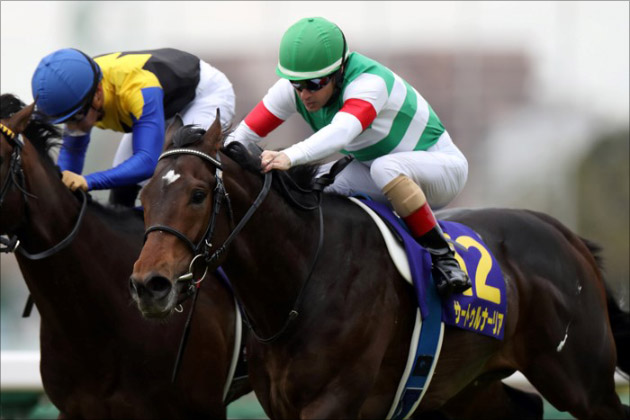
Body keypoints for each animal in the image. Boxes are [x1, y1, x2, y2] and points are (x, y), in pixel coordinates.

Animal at [129, 114, 629, 420]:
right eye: (145, 195)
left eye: (198, 195)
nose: (149, 285)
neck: (303, 279)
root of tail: (565, 235)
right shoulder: (279, 403)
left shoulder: (332, 403)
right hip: (470, 388)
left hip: (581, 381)